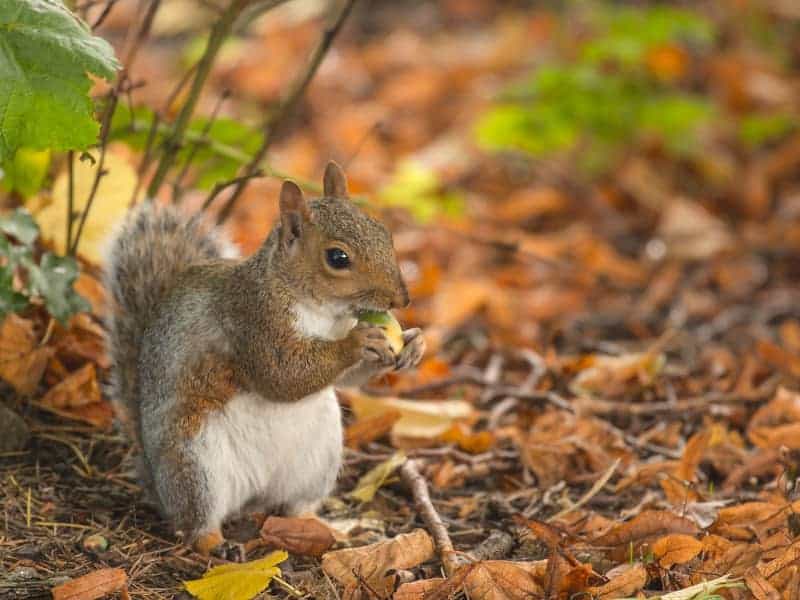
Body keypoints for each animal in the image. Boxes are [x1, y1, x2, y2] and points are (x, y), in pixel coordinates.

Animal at [104, 163, 424, 556]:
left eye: (384, 233)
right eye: (338, 258)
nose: (401, 300)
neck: (319, 309)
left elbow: (345, 379)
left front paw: (413, 343)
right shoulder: (251, 321)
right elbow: (282, 375)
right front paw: (358, 341)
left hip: (316, 461)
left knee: (297, 507)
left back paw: (332, 531)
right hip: (195, 463)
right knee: (196, 522)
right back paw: (217, 544)